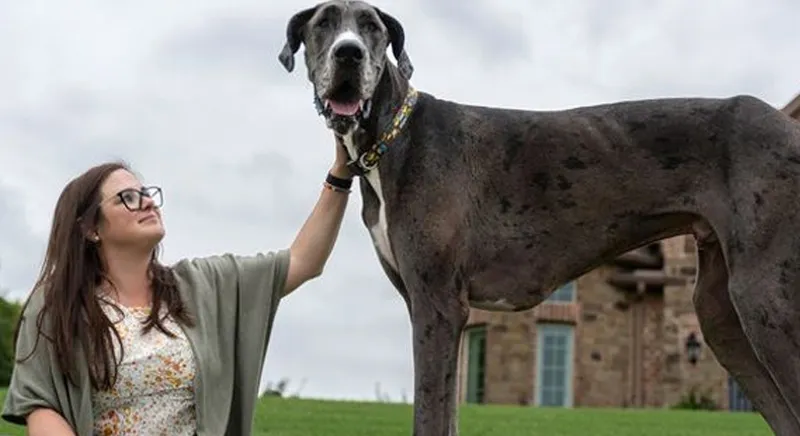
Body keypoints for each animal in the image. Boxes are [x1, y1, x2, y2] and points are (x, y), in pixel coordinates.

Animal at [278, 1, 800, 434]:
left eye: (373, 26)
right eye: (323, 23)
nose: (348, 54)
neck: (394, 136)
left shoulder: (438, 305)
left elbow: (429, 415)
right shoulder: (434, 309)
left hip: (765, 301)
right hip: (722, 316)